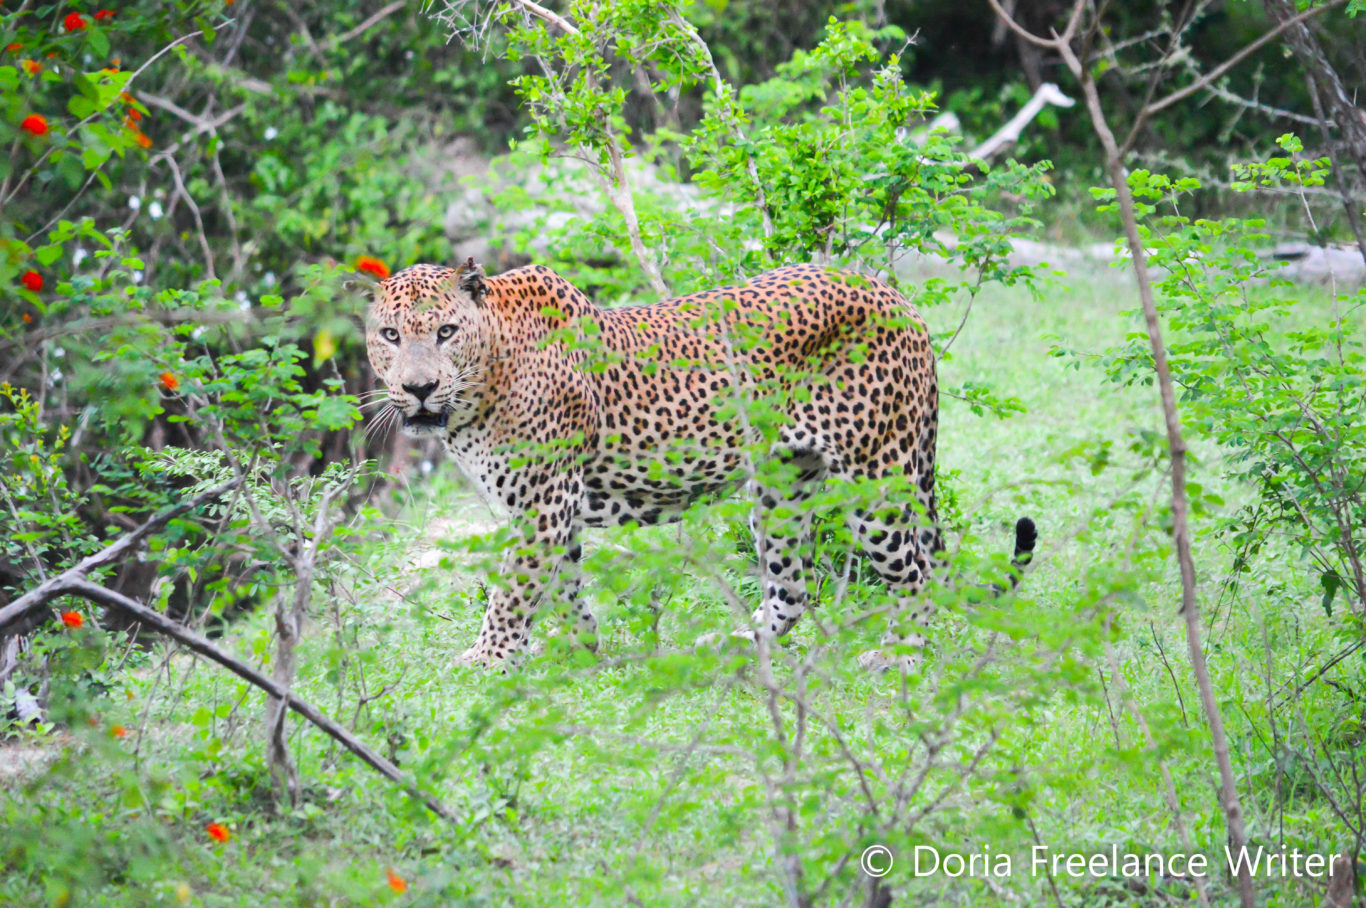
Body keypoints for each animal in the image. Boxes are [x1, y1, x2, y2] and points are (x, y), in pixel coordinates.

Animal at [366, 255, 1032, 666]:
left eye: (446, 332)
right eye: (391, 336)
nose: (419, 389)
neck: (483, 381)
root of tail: (895, 295)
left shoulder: (543, 506)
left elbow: (513, 591)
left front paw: (487, 661)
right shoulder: (551, 512)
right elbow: (562, 587)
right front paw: (583, 650)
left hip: (877, 478)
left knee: (915, 574)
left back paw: (898, 654)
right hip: (783, 486)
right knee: (793, 588)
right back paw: (733, 642)